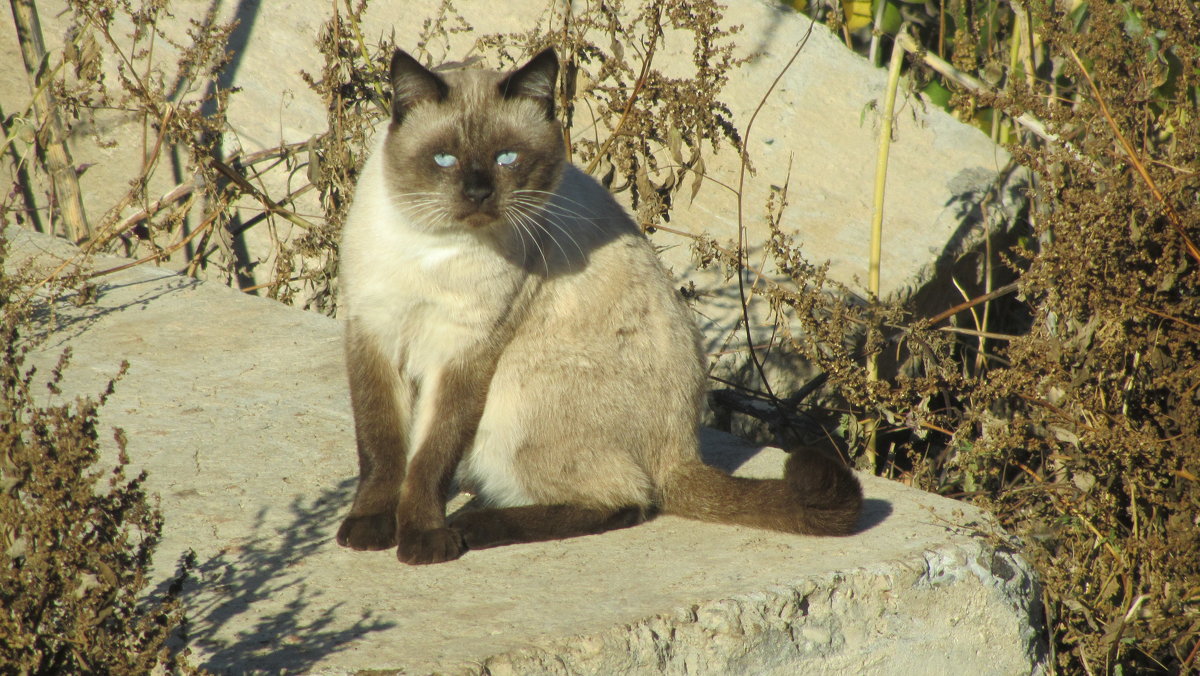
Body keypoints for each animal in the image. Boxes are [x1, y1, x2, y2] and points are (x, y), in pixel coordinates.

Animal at [338, 47, 864, 566]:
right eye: (444, 159)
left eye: (507, 158)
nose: (479, 192)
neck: (434, 248)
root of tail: (683, 450)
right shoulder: (373, 331)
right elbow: (381, 448)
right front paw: (369, 529)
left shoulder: (466, 352)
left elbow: (430, 458)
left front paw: (423, 539)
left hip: (517, 389)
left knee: (630, 499)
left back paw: (475, 525)